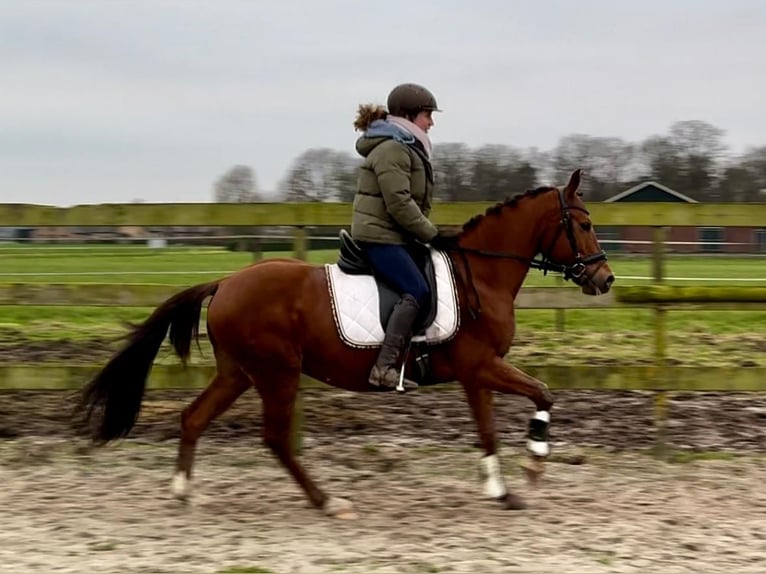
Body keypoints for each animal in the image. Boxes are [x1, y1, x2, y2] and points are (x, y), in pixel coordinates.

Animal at [76, 170, 616, 516]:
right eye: (585, 224)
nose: (605, 279)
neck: (480, 274)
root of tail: (226, 282)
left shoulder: (475, 375)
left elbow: (493, 429)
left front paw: (506, 489)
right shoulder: (479, 367)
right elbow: (539, 395)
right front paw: (531, 468)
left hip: (239, 374)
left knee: (193, 418)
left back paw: (184, 492)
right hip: (277, 374)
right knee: (275, 439)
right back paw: (327, 501)